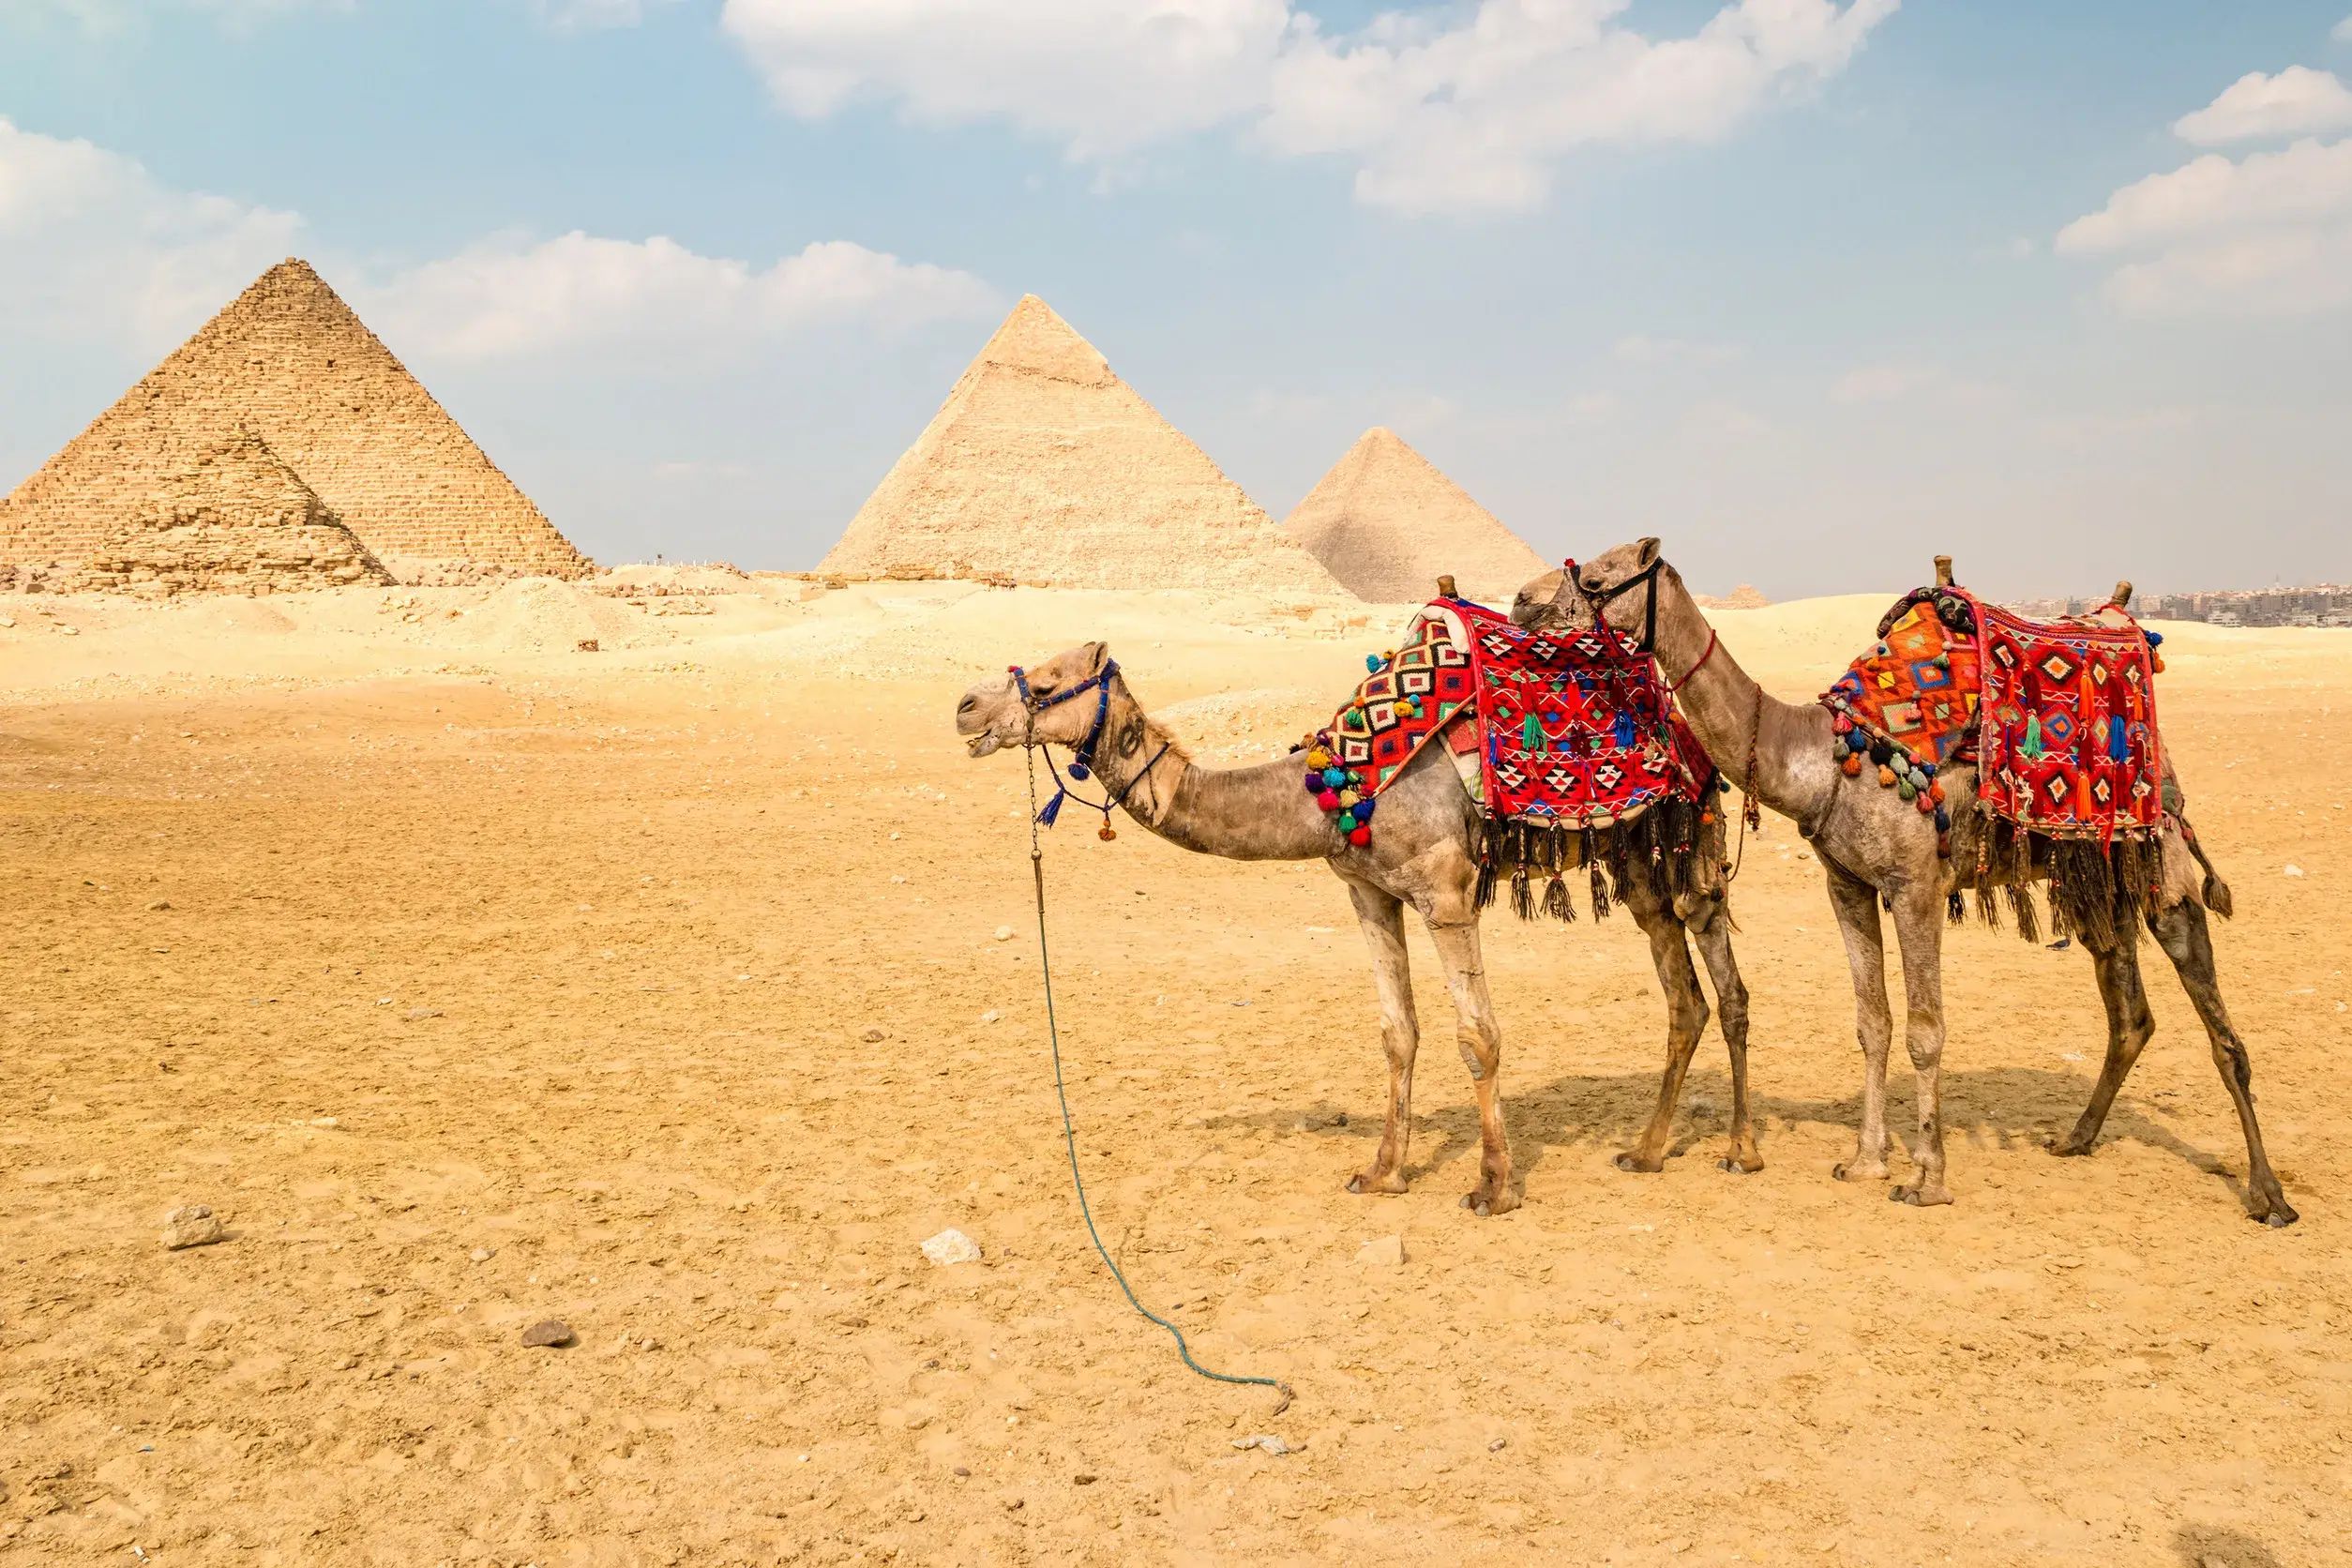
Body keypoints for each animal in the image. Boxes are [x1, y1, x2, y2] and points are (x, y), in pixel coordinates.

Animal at [955, 638, 1761, 1219]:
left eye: (1048, 681)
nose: (965, 708)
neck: (1332, 790)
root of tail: (1685, 728)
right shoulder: (1369, 894)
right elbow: (1398, 1033)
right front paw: (1382, 1173)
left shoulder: (1445, 890)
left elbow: (1479, 1037)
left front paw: (1494, 1187)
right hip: (1639, 865)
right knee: (1685, 997)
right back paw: (1647, 1152)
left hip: (1694, 840)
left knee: (1728, 986)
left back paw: (1741, 1150)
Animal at [1521, 541, 2294, 1224]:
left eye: (1599, 575)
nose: (1528, 605)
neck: (1818, 759)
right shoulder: (1848, 885)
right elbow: (1874, 1023)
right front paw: (1865, 1161)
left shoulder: (1916, 884)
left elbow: (1926, 1030)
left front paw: (1928, 1180)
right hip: (2096, 872)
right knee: (2129, 1011)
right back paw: (2075, 1138)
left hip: (2160, 858)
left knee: (2218, 1026)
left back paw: (2269, 1196)